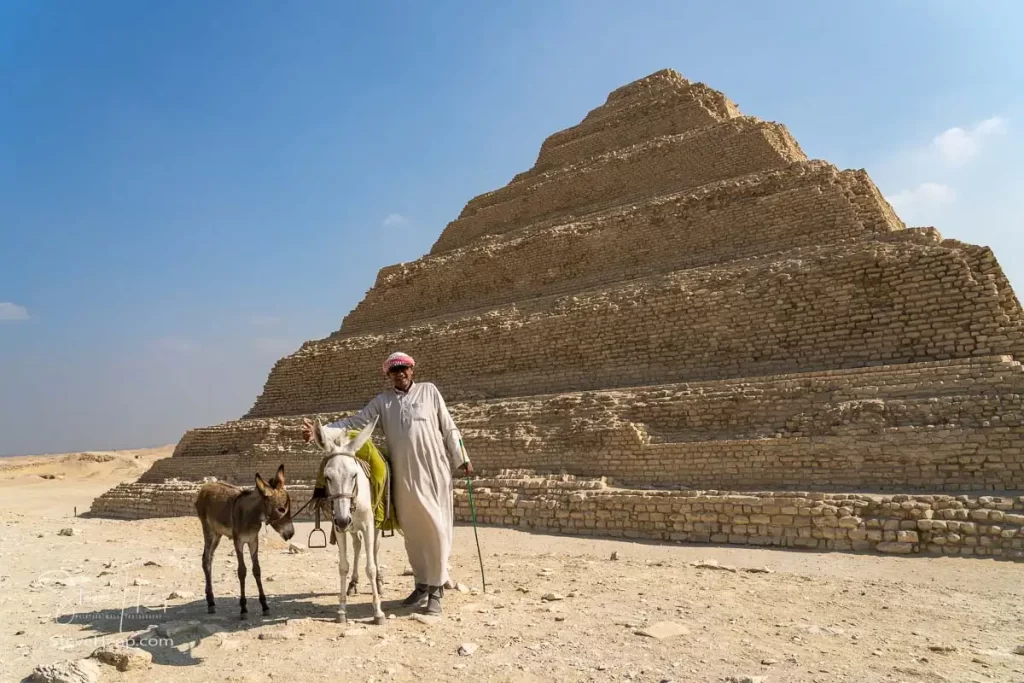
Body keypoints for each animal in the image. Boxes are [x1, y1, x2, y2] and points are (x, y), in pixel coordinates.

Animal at [309, 413, 385, 626]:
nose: (343, 520)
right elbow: (343, 566)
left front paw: (378, 612)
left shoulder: (367, 525)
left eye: (354, 475)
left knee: (374, 549)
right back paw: (353, 583)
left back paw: (379, 583)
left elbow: (371, 567)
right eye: (327, 477)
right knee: (357, 545)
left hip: (373, 523)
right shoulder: (339, 529)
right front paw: (341, 611)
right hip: (351, 528)